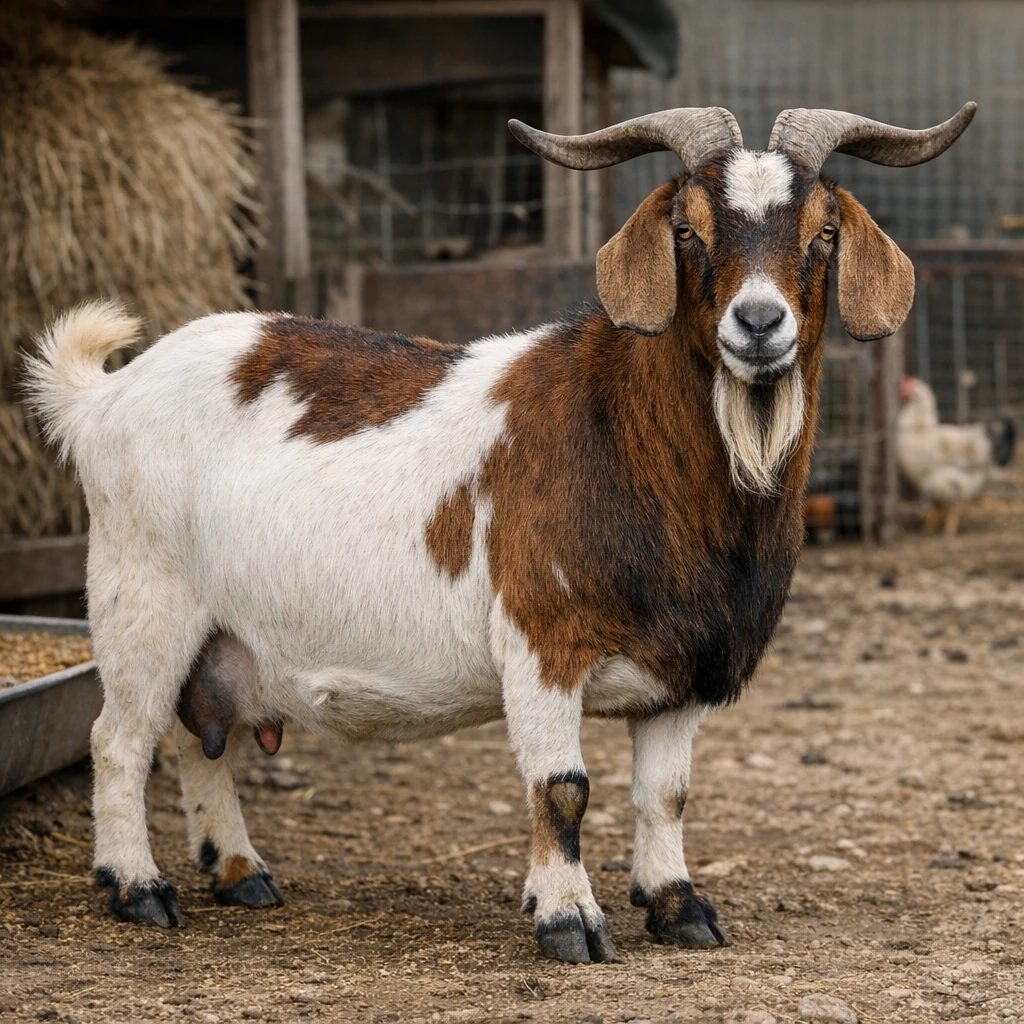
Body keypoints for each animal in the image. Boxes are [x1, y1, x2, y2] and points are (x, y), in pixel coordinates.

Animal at [27, 102, 974, 963]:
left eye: (823, 233)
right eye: (686, 230)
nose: (759, 323)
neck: (630, 440)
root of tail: (104, 397)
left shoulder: (687, 667)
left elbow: (664, 795)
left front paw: (679, 907)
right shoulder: (541, 640)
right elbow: (562, 790)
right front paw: (568, 920)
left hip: (217, 633)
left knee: (197, 736)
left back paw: (241, 872)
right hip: (143, 595)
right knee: (120, 739)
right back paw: (139, 889)